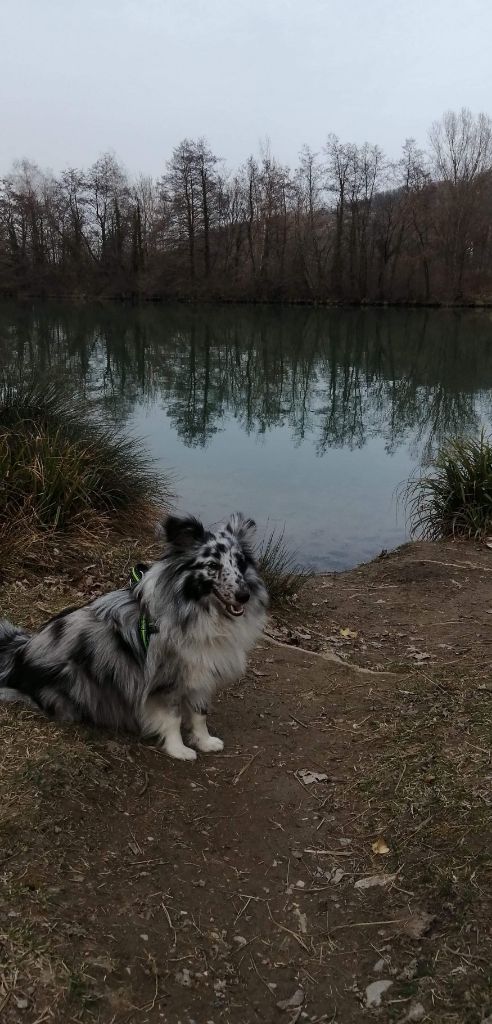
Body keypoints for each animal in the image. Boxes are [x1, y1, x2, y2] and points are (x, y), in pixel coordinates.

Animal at [0, 512, 268, 761]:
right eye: (212, 566)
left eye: (240, 563)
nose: (244, 595)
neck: (200, 610)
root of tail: (19, 652)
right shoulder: (166, 680)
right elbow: (173, 717)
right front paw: (178, 749)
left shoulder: (200, 674)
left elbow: (199, 714)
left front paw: (205, 741)